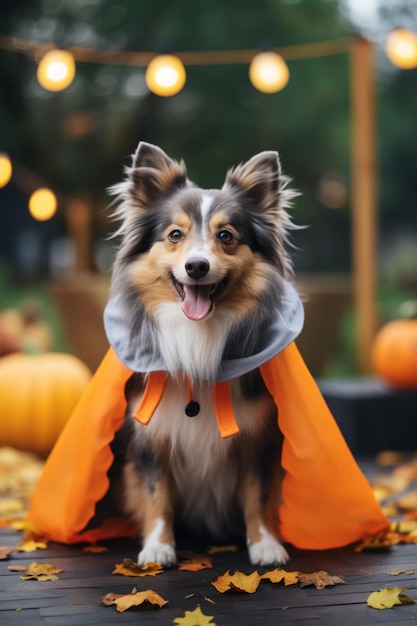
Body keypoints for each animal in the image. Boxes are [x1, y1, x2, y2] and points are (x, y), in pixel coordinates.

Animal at [105, 140, 300, 564]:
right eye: (175, 234)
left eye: (226, 235)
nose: (196, 266)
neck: (197, 336)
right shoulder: (151, 435)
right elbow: (157, 493)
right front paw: (158, 547)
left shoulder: (258, 434)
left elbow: (257, 494)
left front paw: (265, 544)